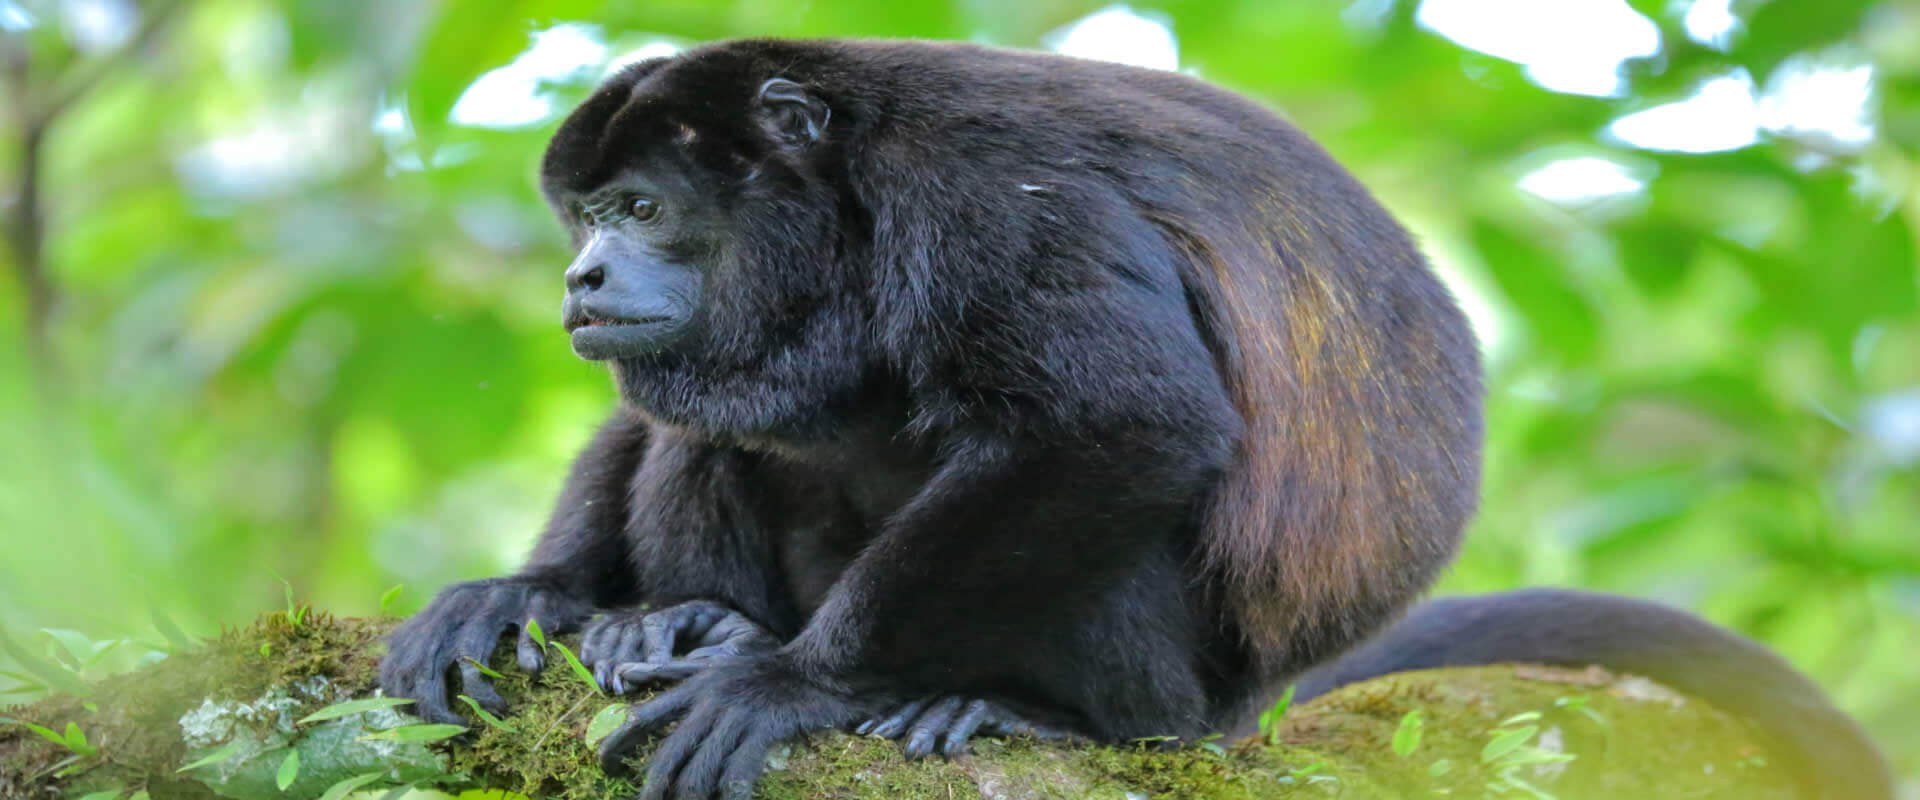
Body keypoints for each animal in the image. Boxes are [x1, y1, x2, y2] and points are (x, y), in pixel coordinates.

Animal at [378, 37, 1889, 798]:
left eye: (640, 208)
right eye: (585, 213)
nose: (580, 275)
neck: (842, 198)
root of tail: (1248, 709)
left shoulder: (979, 188)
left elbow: (1125, 425)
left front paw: (791, 684)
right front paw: (532, 593)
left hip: (1180, 684)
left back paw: (1019, 713)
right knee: (713, 432)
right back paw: (682, 618)